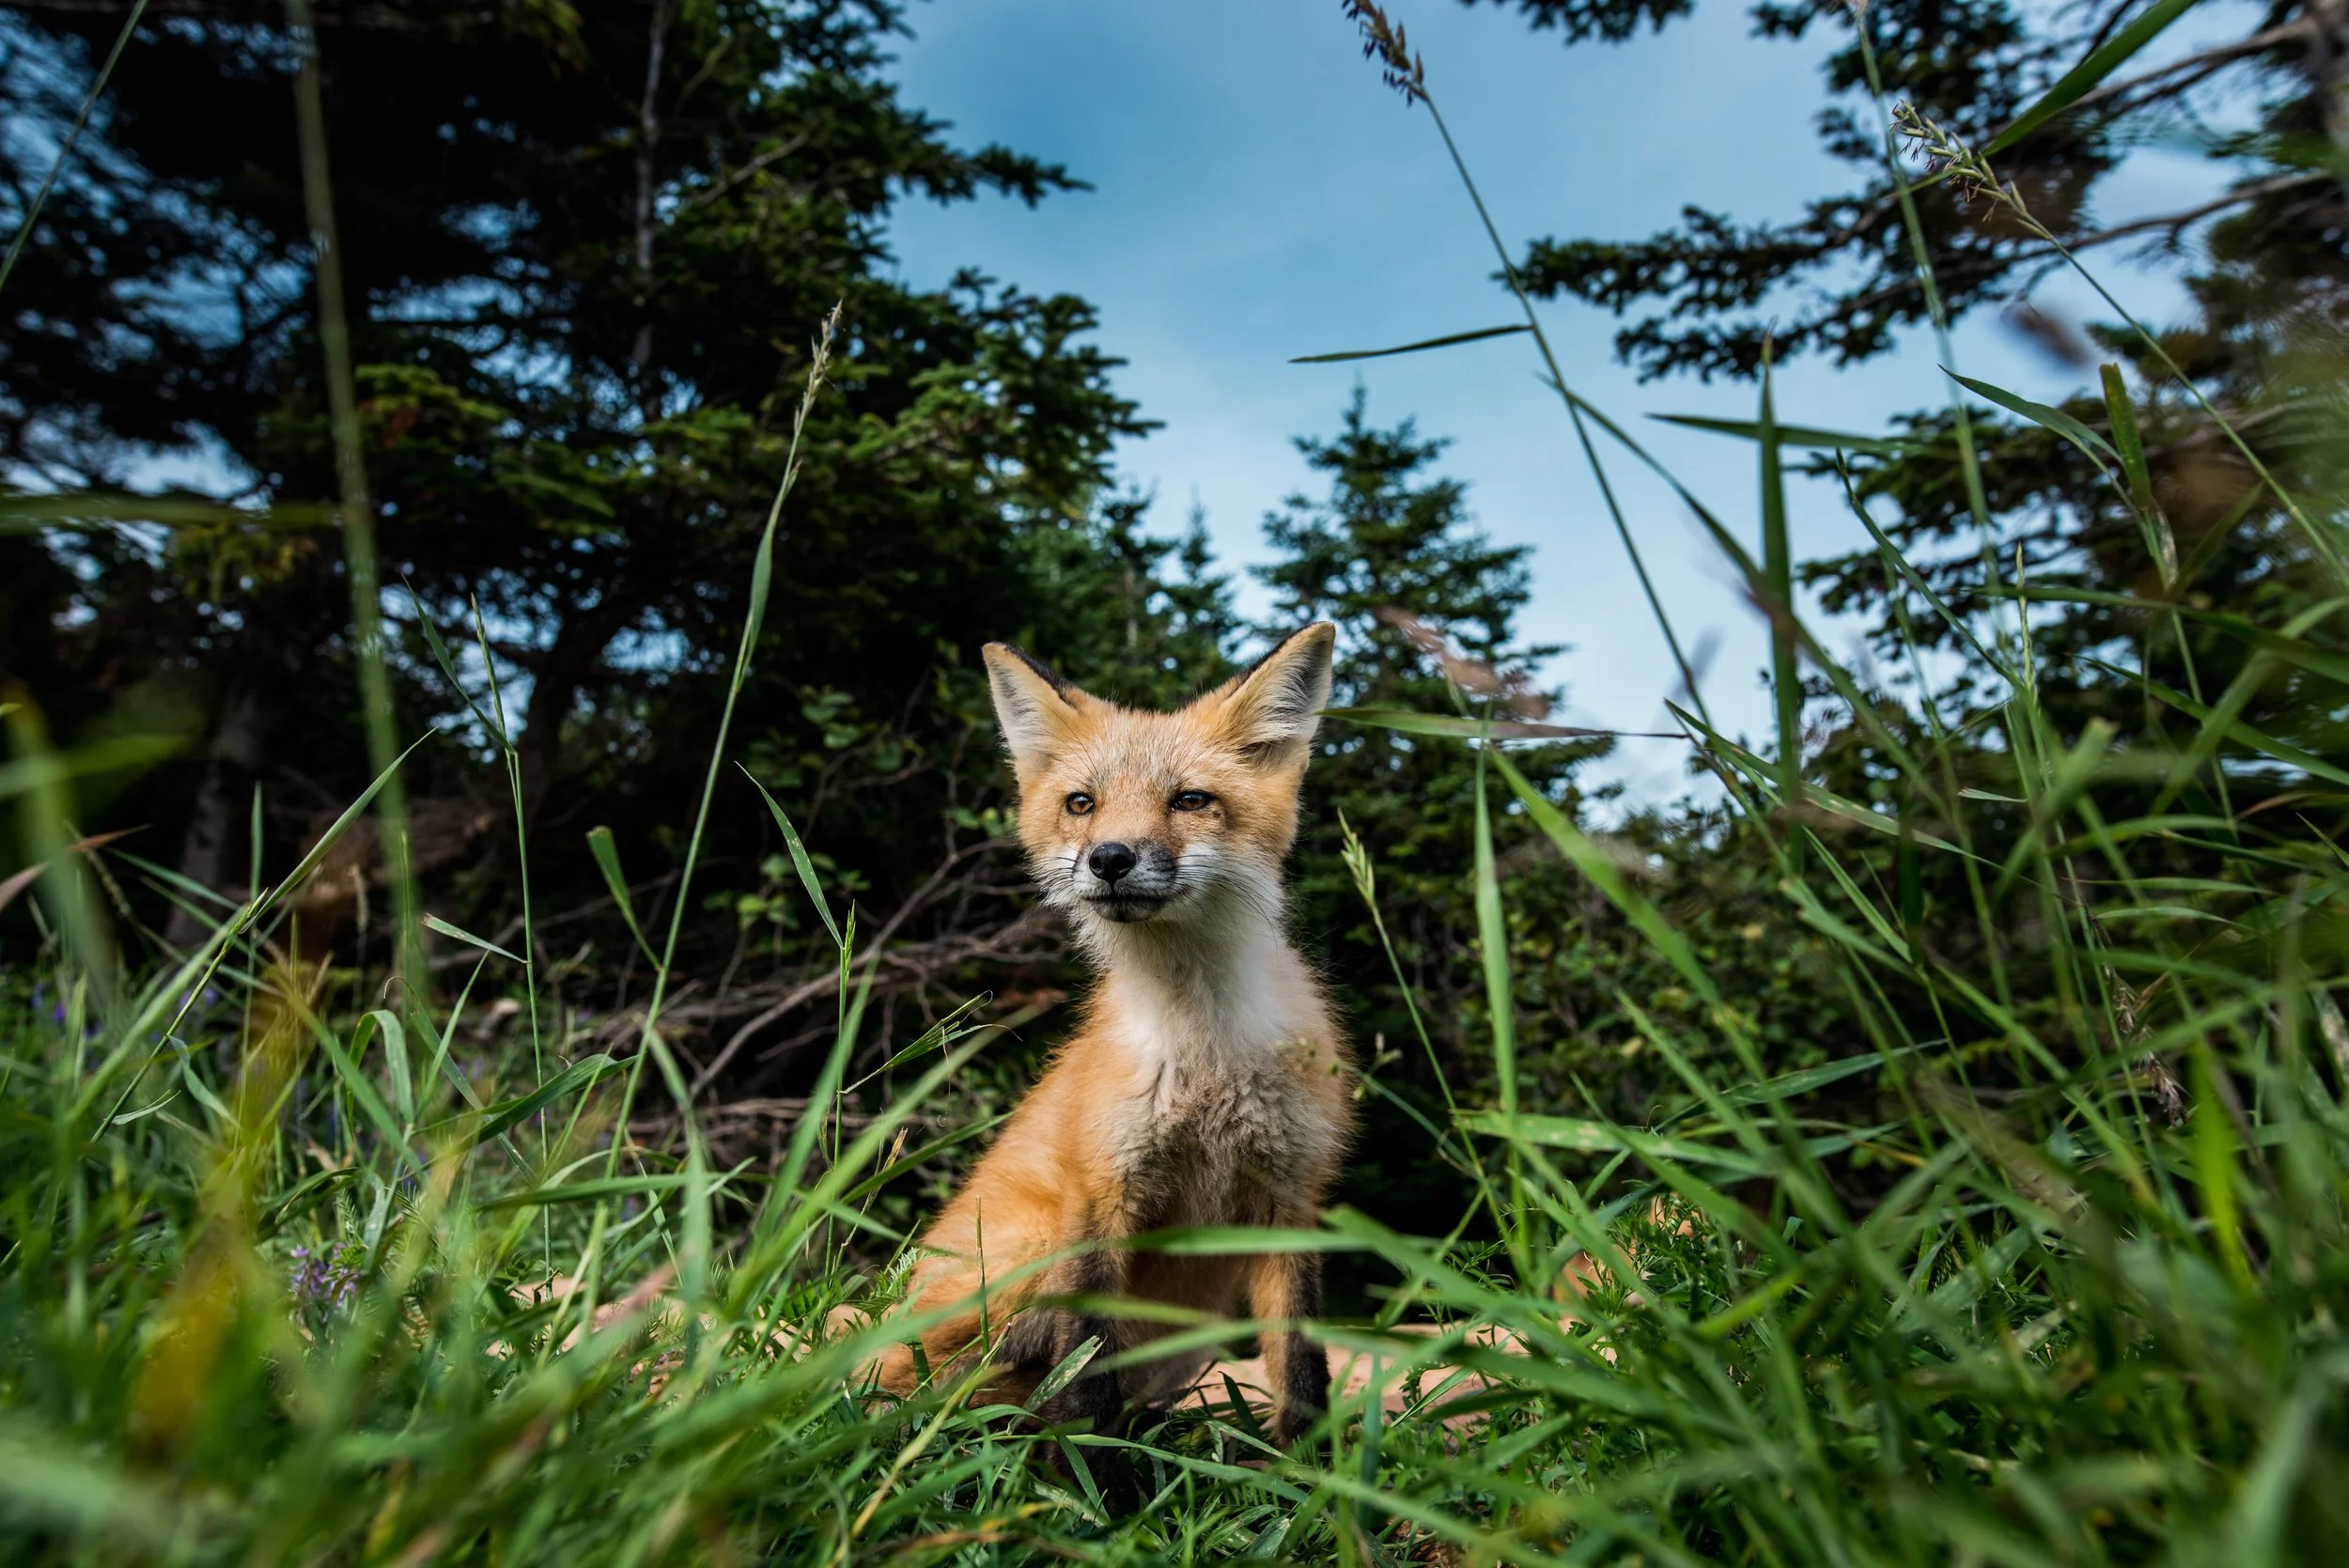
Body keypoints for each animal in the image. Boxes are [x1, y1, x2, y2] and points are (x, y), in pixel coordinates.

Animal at [872, 622, 1353, 1445]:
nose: (1110, 858)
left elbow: (1300, 1370)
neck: (1204, 1054)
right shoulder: (1102, 1197)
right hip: (1024, 1260)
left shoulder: (1289, 1197)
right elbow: (1086, 1380)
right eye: (1082, 804)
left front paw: (1314, 1475)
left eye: (1190, 800)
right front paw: (1094, 1479)